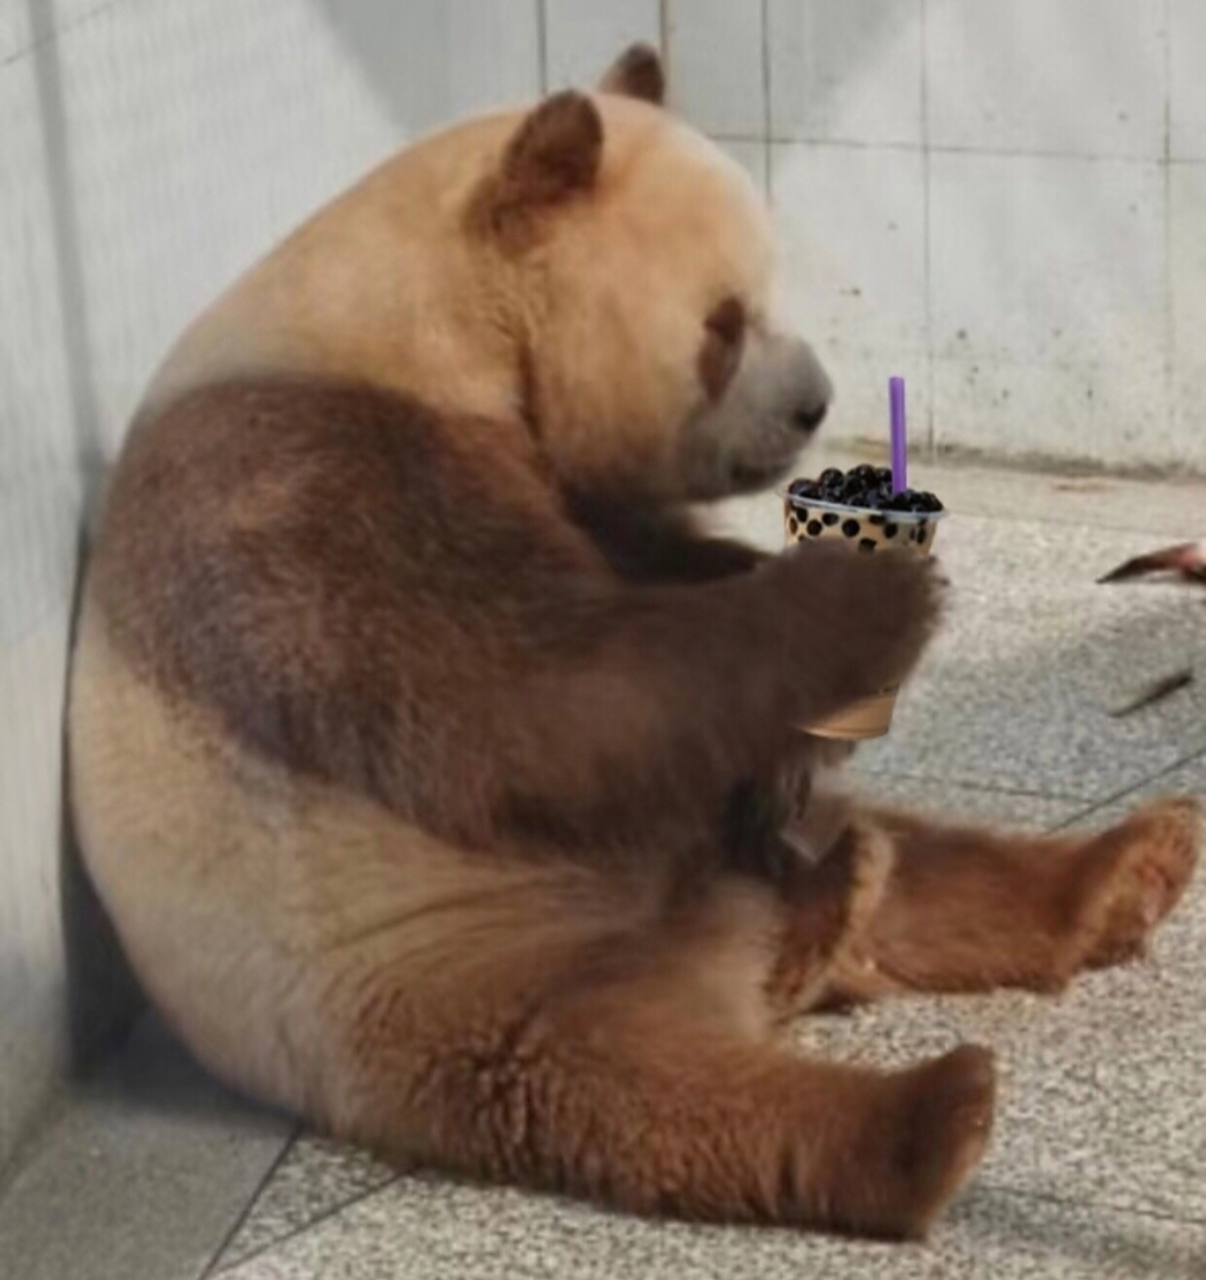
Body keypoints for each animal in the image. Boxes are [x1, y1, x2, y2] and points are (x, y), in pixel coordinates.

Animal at [68, 45, 1199, 1240]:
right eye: (723, 323)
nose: (815, 402)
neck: (417, 317)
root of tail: (750, 963)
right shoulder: (312, 481)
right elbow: (527, 705)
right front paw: (872, 590)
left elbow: (648, 584)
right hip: (455, 972)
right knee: (620, 1083)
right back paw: (930, 1116)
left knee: (919, 860)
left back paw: (1095, 874)